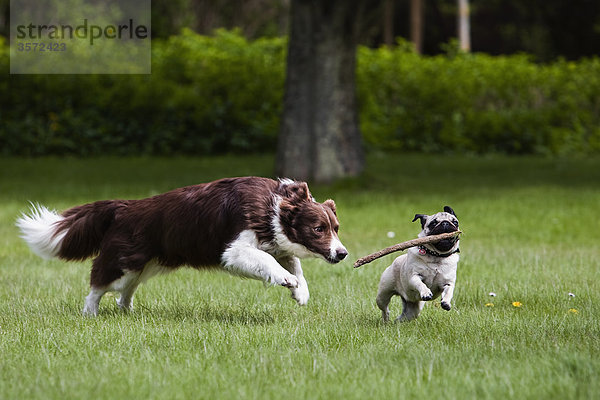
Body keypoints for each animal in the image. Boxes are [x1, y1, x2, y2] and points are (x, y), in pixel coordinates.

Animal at [16, 177, 346, 316]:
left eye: (336, 228)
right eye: (318, 228)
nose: (343, 254)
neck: (272, 205)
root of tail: (124, 206)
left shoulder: (275, 241)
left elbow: (293, 261)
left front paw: (300, 292)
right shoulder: (234, 250)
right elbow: (271, 262)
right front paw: (286, 280)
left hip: (145, 265)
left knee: (124, 294)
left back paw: (129, 313)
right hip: (123, 261)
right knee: (98, 286)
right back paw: (91, 314)